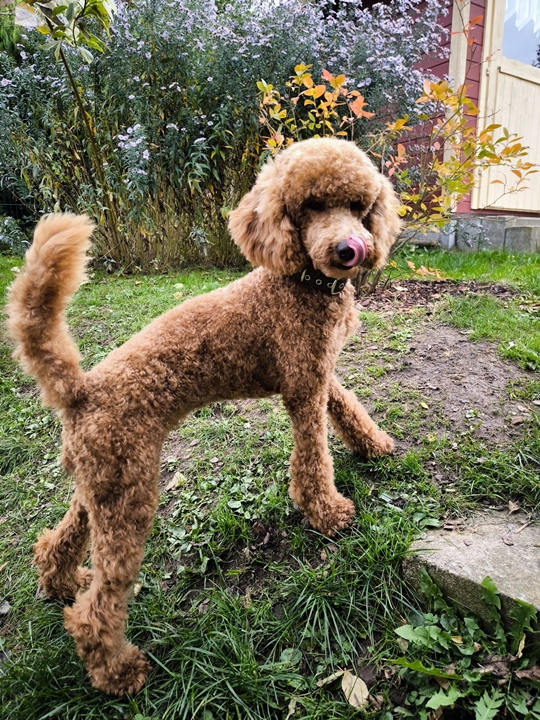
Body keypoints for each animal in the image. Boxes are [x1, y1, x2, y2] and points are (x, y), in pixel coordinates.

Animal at [7, 137, 401, 695]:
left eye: (358, 205)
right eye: (308, 207)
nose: (349, 249)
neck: (301, 283)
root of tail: (81, 390)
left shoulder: (318, 372)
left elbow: (346, 405)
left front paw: (374, 445)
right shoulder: (303, 386)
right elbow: (313, 460)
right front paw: (327, 512)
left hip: (100, 482)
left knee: (58, 540)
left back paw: (61, 581)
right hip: (129, 497)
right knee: (97, 609)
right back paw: (119, 671)